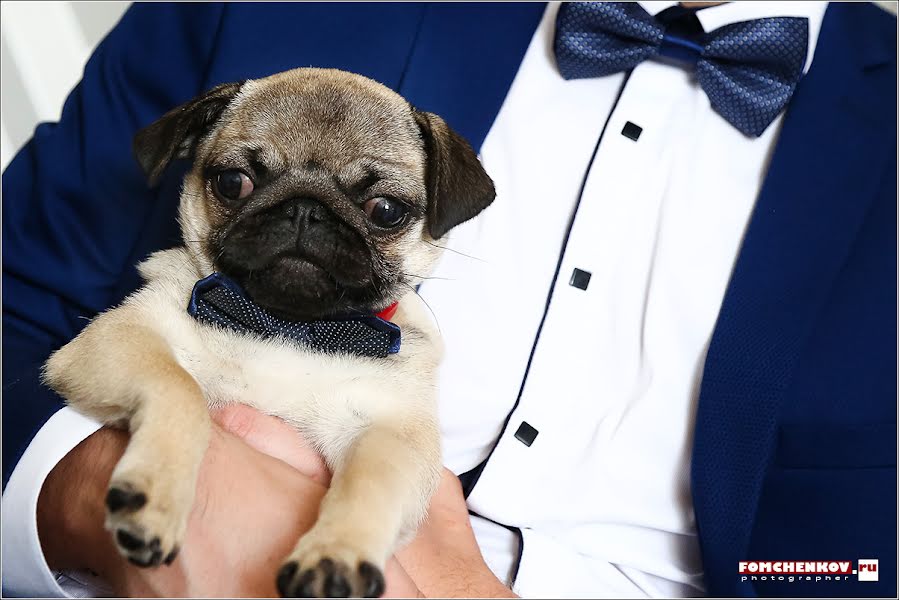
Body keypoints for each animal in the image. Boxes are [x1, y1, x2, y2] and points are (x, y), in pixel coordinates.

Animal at [42, 68, 496, 596]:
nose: (305, 209)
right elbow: (179, 389)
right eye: (232, 182)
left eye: (385, 210)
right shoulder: (123, 336)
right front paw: (153, 499)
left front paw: (335, 556)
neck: (285, 324)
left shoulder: (391, 430)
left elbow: (370, 482)